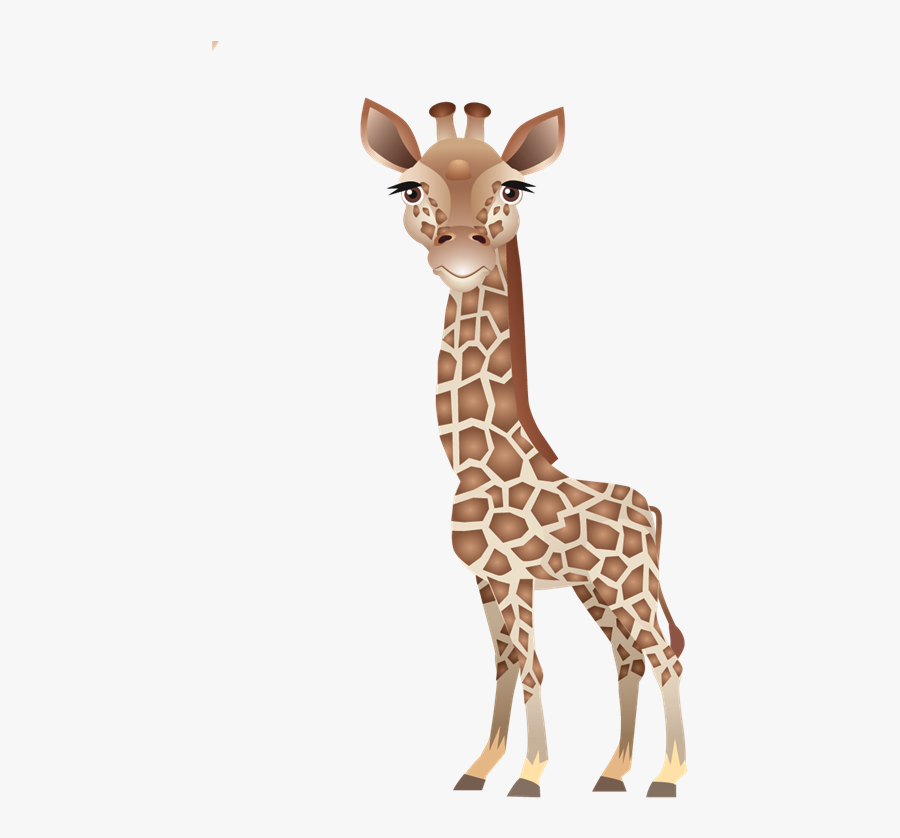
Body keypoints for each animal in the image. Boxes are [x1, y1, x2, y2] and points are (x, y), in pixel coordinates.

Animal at [360, 99, 687, 799]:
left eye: (512, 188)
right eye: (411, 188)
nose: (461, 251)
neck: (473, 462)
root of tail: (652, 511)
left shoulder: (511, 577)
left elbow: (533, 666)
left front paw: (529, 778)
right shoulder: (485, 579)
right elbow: (507, 663)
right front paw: (478, 769)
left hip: (629, 584)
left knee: (663, 651)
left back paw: (668, 776)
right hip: (597, 588)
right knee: (627, 656)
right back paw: (612, 773)